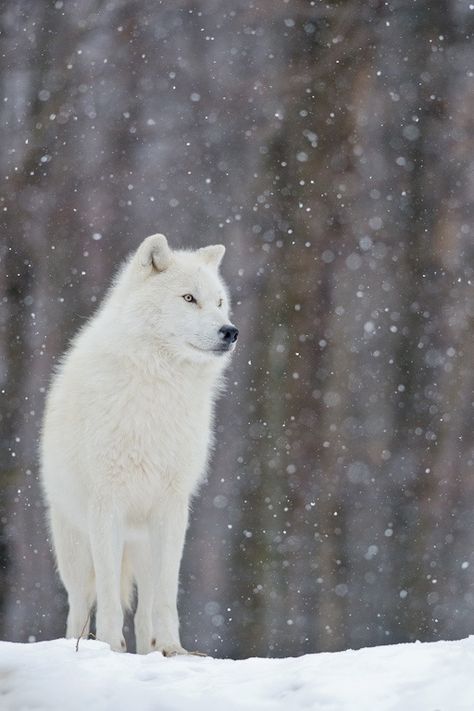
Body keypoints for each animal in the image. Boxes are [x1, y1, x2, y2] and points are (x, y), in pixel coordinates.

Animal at [39, 235, 237, 656]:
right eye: (188, 298)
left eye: (219, 302)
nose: (231, 331)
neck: (158, 387)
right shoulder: (106, 506)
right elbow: (109, 598)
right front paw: (110, 649)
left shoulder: (173, 509)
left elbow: (165, 597)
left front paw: (174, 650)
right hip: (76, 550)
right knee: (80, 605)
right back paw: (79, 647)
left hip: (144, 545)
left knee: (145, 608)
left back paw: (151, 650)